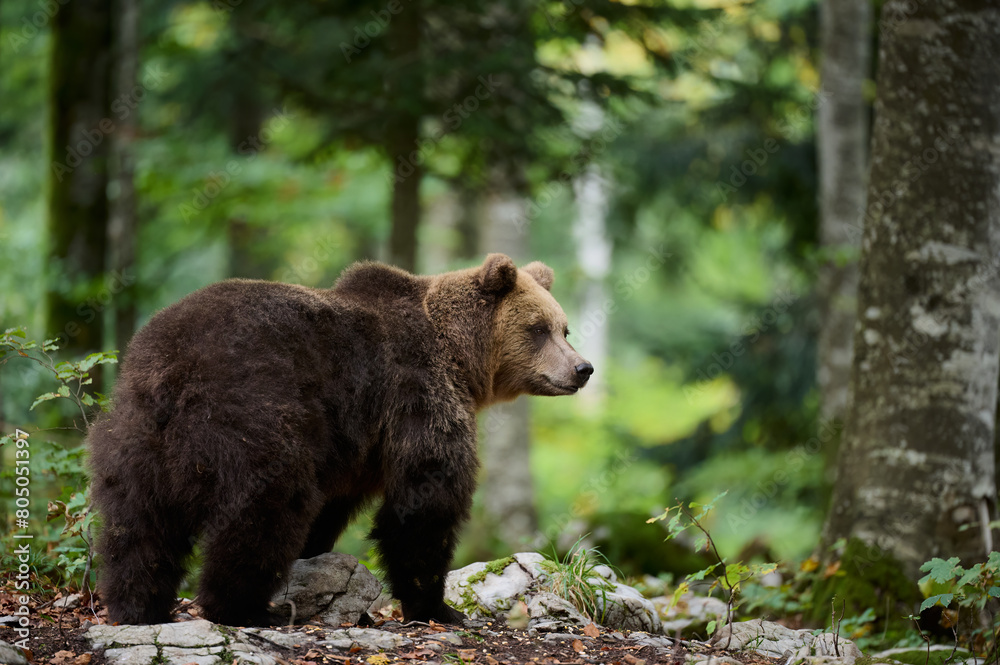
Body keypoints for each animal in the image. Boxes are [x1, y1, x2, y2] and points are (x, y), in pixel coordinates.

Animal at [89, 253, 593, 627]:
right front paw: (438, 606)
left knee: (136, 523)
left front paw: (316, 554)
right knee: (264, 508)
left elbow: (335, 503)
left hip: (134, 430)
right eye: (537, 329)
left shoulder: (355, 443)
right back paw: (243, 608)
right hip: (253, 411)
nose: (582, 368)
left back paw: (138, 605)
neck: (462, 360)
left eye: (563, 327)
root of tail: (175, 365)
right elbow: (426, 498)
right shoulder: (415, 390)